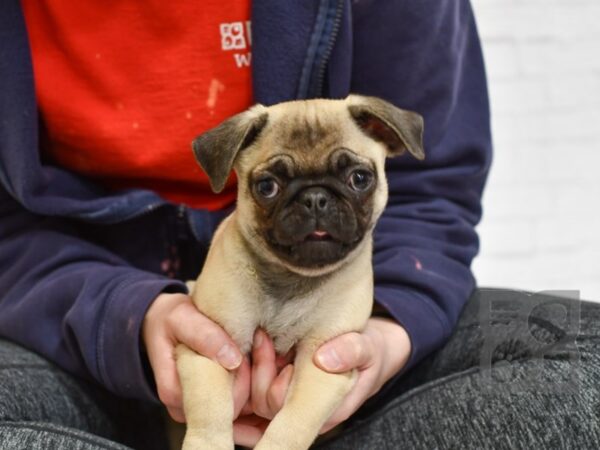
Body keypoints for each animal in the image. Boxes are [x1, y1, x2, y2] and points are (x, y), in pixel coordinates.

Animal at [176, 95, 424, 450]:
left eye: (360, 178)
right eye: (267, 187)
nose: (315, 197)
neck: (291, 278)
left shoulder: (323, 365)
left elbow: (292, 424)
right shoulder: (210, 347)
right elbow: (210, 412)